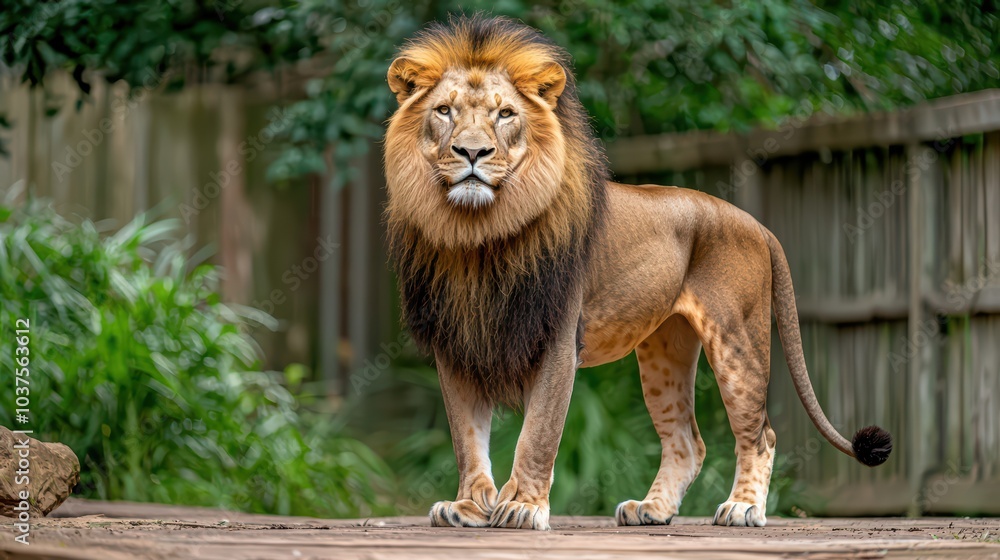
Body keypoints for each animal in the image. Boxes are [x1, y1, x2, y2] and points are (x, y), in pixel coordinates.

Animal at [383, 15, 892, 530]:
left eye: (505, 113)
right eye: (444, 110)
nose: (473, 152)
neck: (477, 234)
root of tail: (755, 222)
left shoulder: (557, 339)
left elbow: (538, 433)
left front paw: (523, 506)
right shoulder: (455, 342)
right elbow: (467, 438)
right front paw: (468, 506)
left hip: (737, 339)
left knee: (760, 434)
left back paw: (743, 506)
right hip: (665, 350)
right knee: (687, 440)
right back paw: (652, 509)